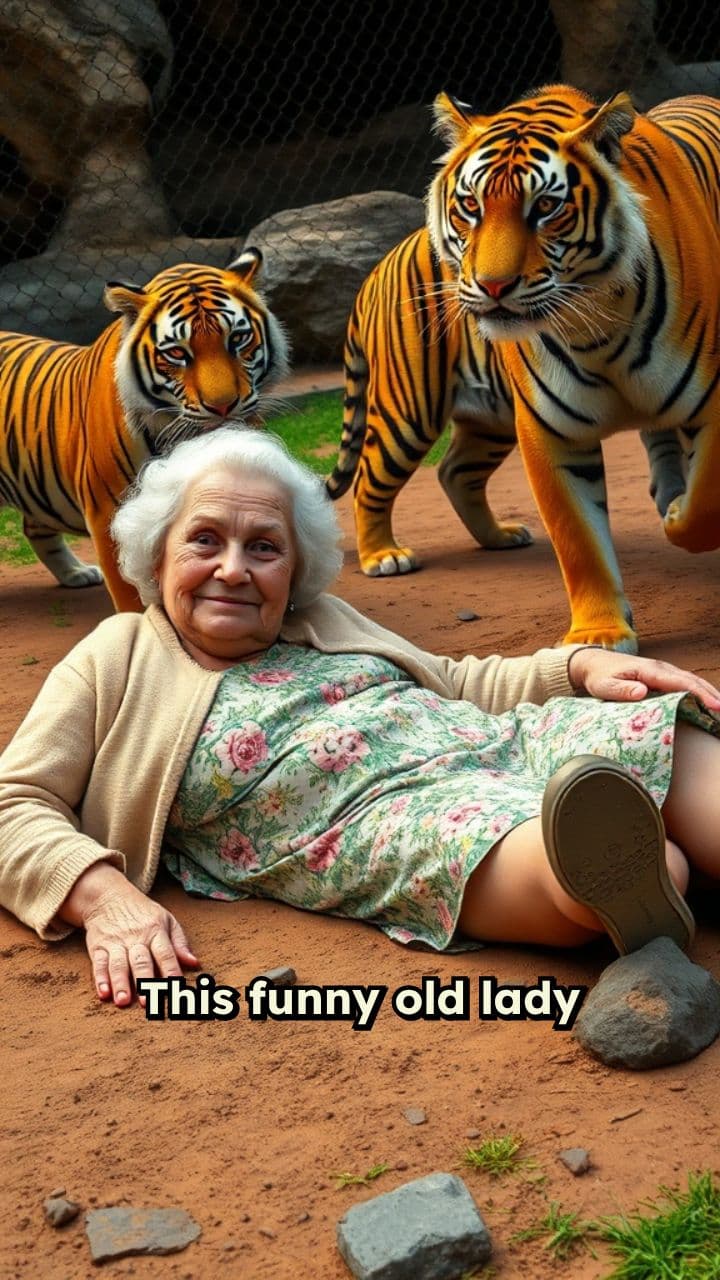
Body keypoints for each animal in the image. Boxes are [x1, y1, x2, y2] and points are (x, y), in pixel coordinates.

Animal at [0, 252, 289, 611]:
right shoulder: (111, 514)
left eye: (237, 339)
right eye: (177, 353)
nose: (223, 406)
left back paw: (75, 573)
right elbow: (132, 594)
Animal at [327, 84, 720, 653]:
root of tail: (380, 263)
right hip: (410, 410)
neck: (596, 325)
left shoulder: (712, 405)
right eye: (471, 206)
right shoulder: (550, 430)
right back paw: (384, 555)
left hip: (487, 419)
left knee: (454, 471)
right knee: (370, 480)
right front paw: (598, 635)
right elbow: (578, 539)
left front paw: (676, 512)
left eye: (547, 207)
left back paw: (500, 537)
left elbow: (706, 500)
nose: (493, 286)